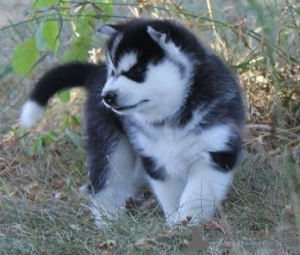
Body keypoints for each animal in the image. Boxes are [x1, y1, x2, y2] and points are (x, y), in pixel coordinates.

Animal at [21, 18, 246, 227]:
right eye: (113, 71)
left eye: (136, 71)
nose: (107, 96)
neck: (170, 116)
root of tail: (96, 71)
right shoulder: (154, 158)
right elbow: (170, 194)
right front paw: (176, 221)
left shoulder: (215, 150)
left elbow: (196, 193)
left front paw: (189, 220)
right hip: (109, 141)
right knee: (107, 178)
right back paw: (109, 220)